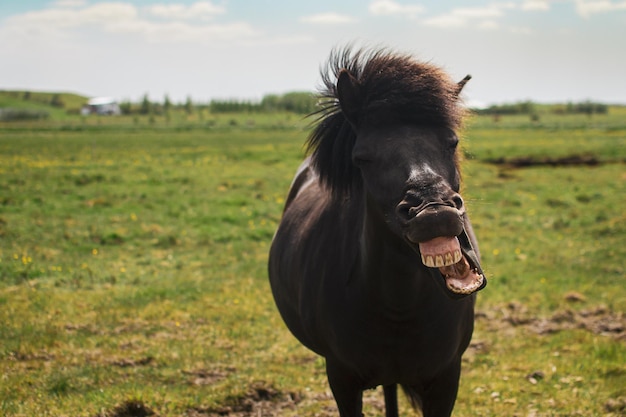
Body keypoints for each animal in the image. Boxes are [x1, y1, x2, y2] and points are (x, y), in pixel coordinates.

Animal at [266, 46, 486, 416]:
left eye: (452, 143)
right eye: (363, 158)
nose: (435, 213)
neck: (399, 306)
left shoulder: (446, 379)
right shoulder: (342, 380)